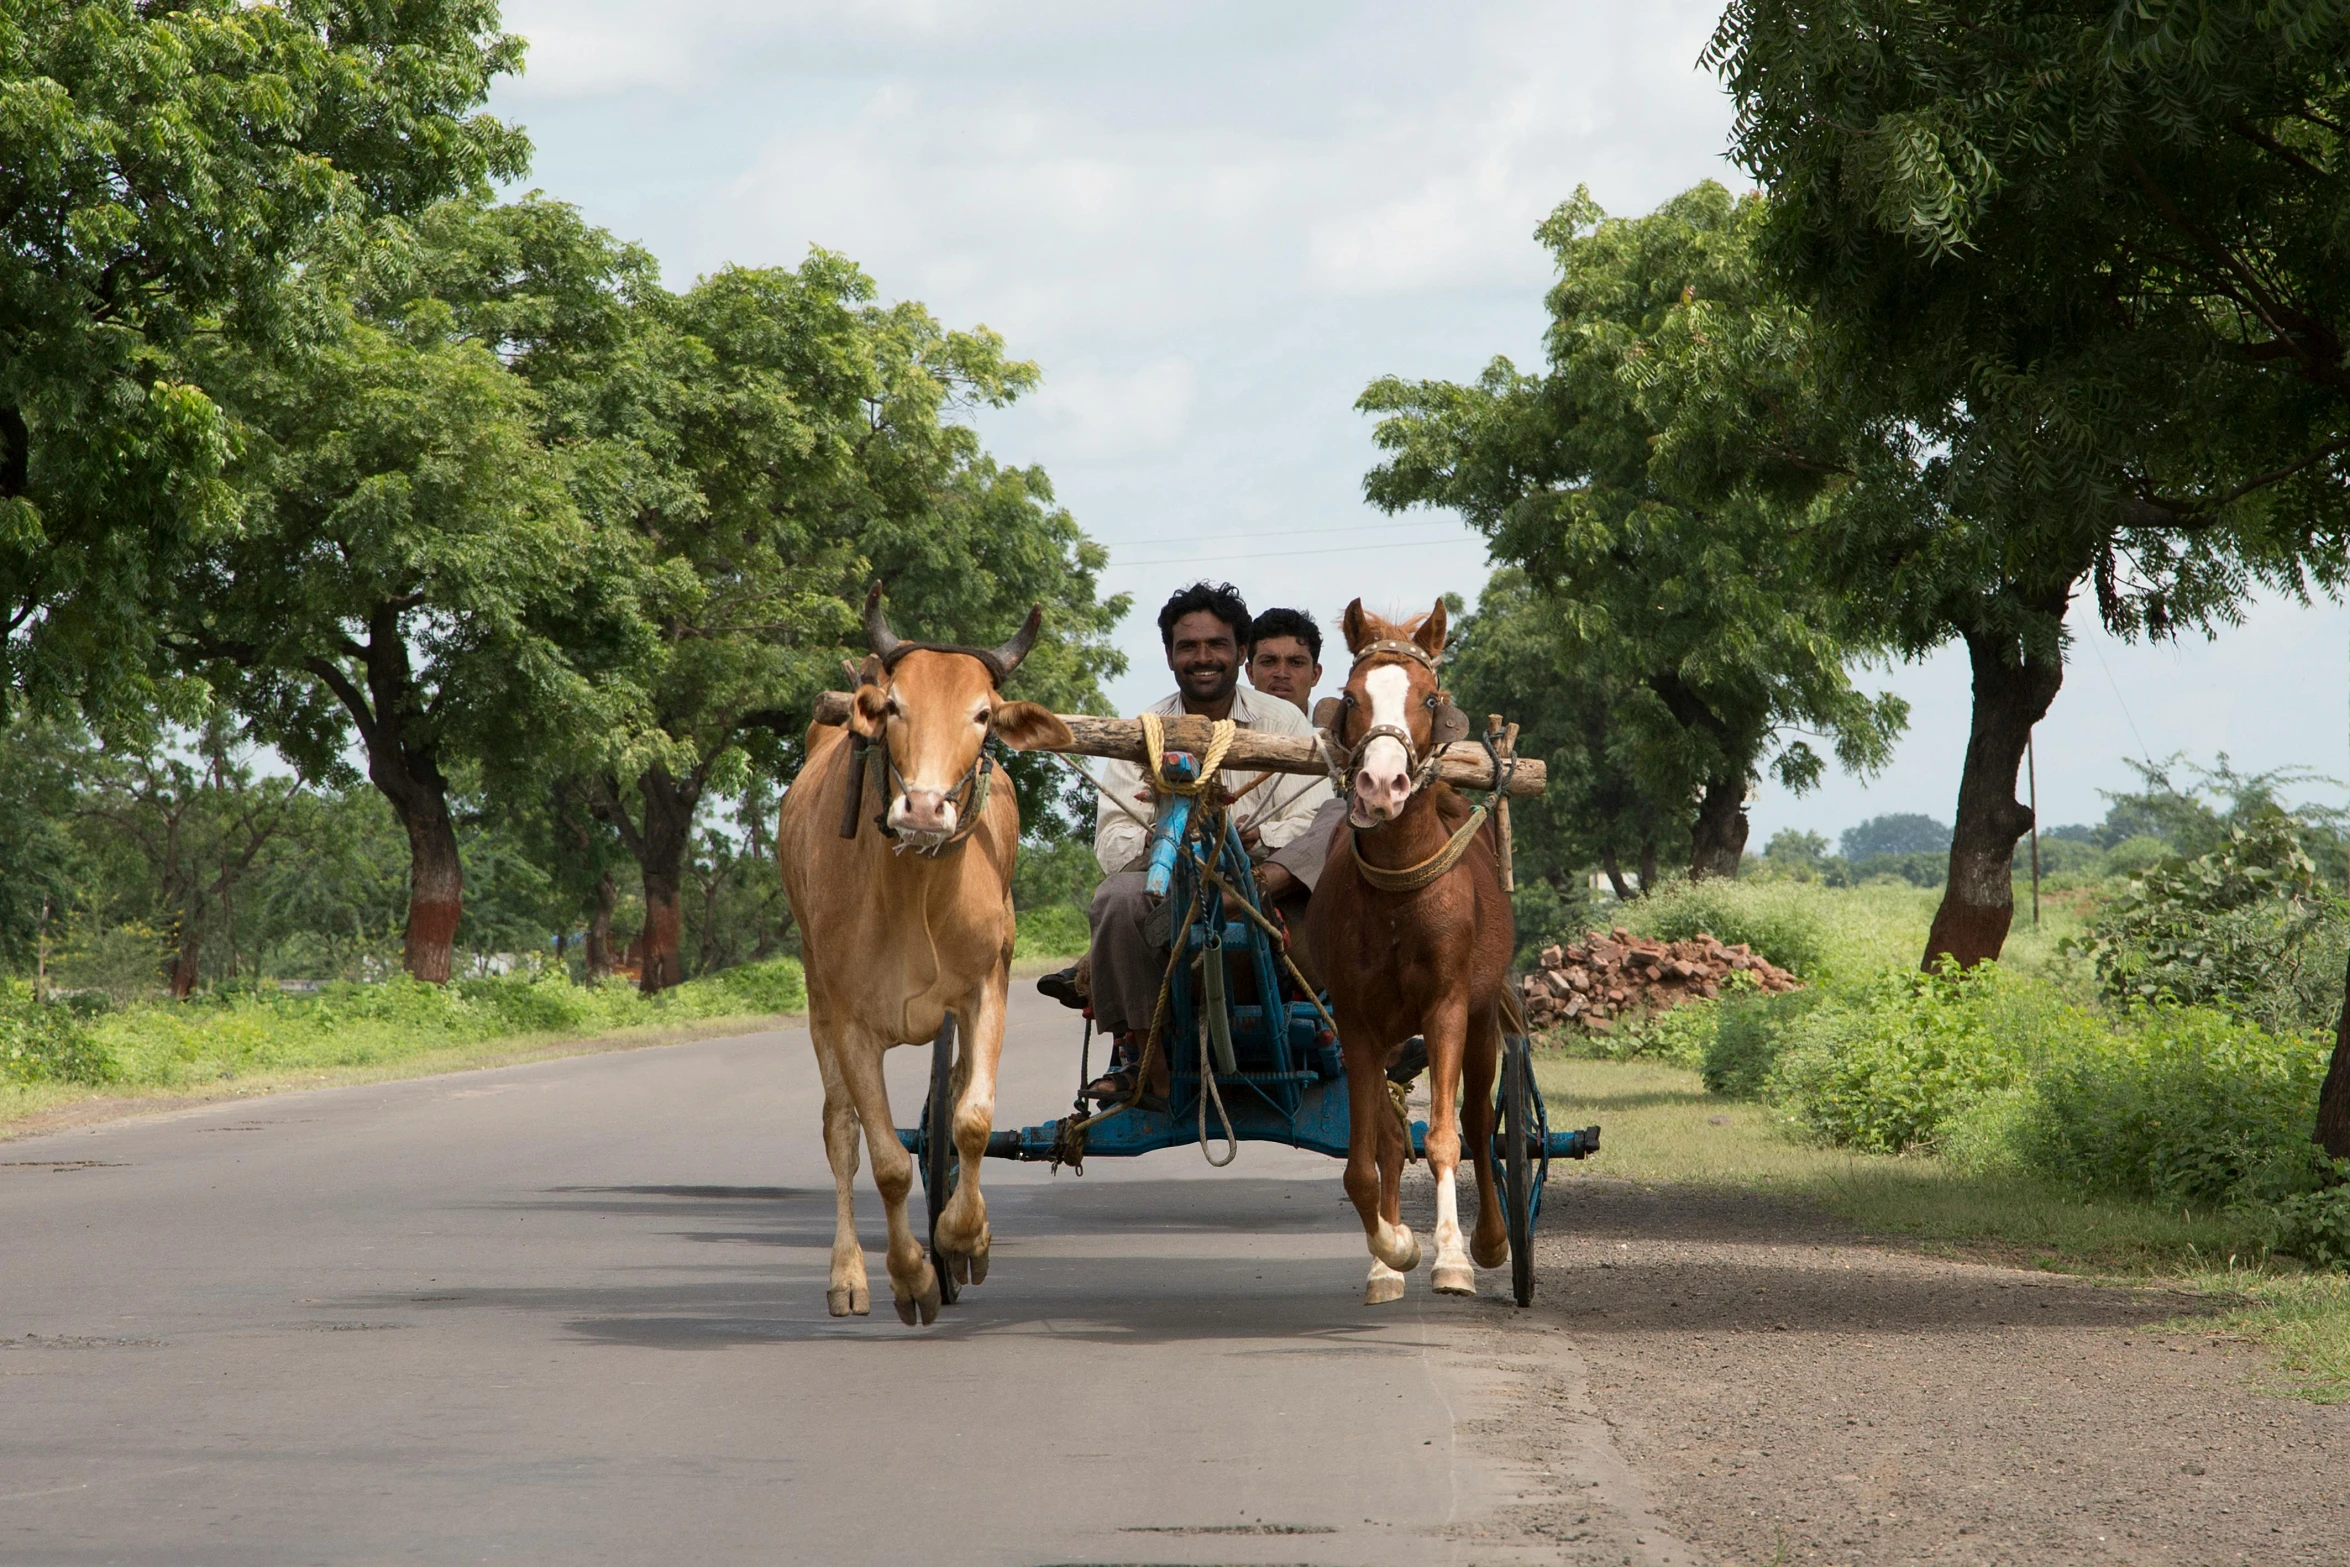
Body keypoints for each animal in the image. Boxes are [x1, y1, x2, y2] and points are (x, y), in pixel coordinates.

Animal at [1306, 594, 1504, 1306]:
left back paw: (1490, 1240)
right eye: (1351, 696)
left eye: (1428, 697)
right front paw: (1393, 1247)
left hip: (1484, 1018)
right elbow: (1365, 1162)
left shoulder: (1447, 1007)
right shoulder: (1356, 1023)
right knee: (1391, 1139)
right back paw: (1386, 1262)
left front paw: (1451, 1257)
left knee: (1479, 1121)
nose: (1381, 783)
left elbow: (1446, 1138)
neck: (1397, 895)